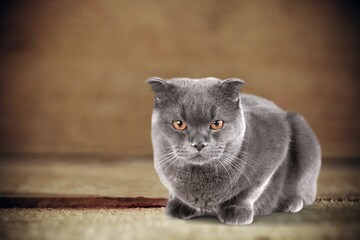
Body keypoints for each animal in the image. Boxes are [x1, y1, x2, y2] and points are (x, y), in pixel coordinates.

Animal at [146, 76, 320, 225]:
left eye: (217, 124)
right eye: (179, 124)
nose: (199, 144)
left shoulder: (276, 144)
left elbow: (253, 188)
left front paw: (236, 210)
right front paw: (179, 205)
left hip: (301, 131)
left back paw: (291, 202)